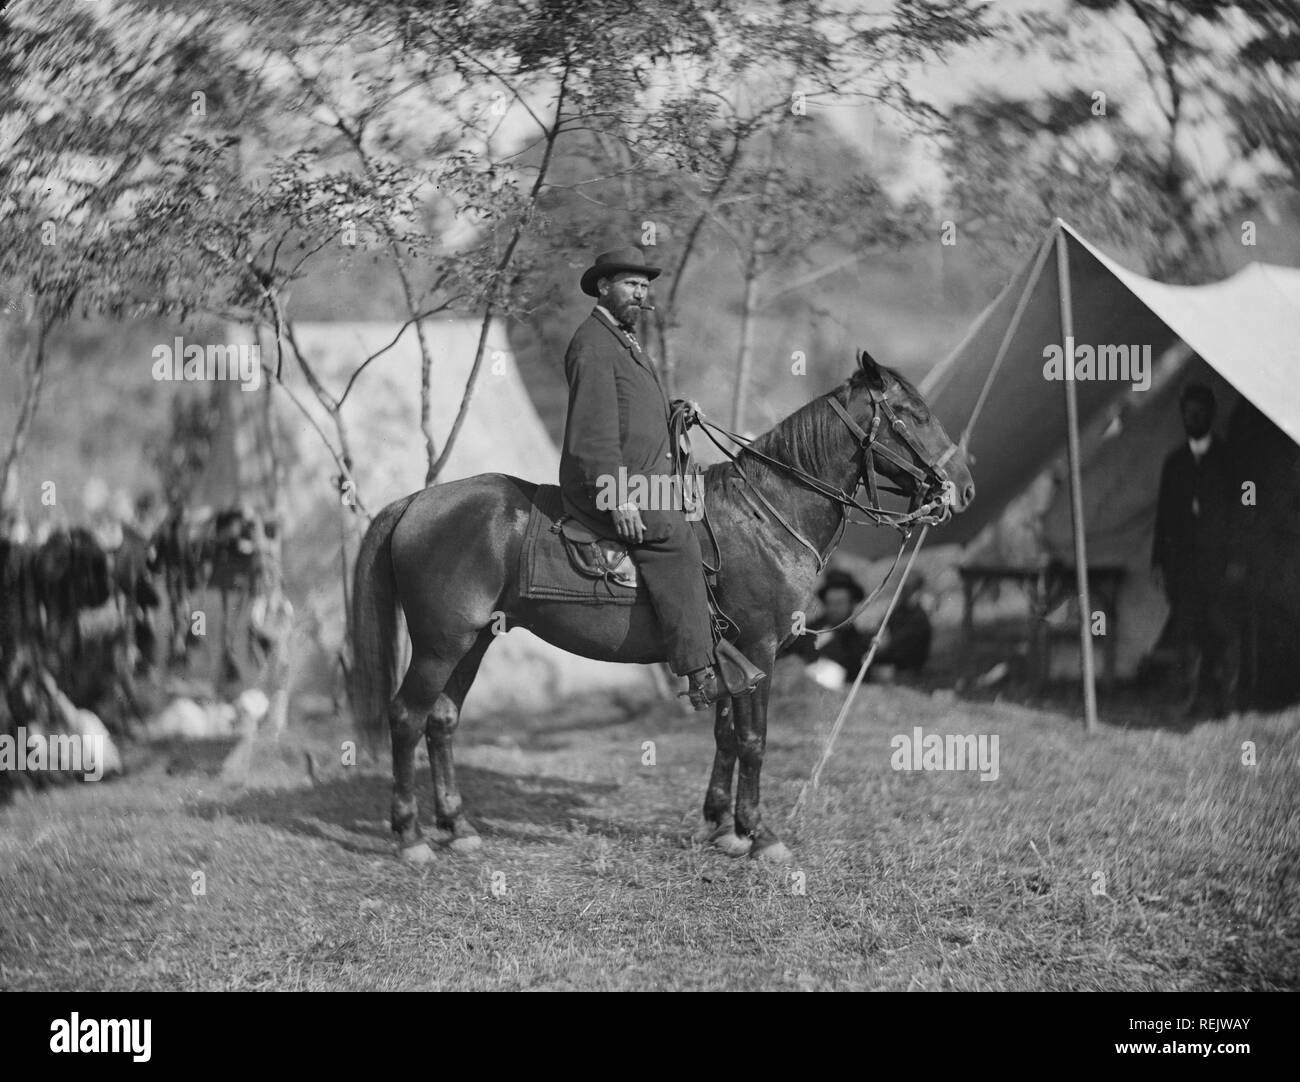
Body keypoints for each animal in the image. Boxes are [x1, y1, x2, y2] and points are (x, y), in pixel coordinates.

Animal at [351, 351, 972, 868]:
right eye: (911, 414)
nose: (961, 488)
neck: (765, 514)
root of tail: (417, 501)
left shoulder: (731, 656)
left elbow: (726, 735)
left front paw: (721, 826)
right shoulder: (759, 649)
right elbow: (754, 741)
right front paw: (760, 834)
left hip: (474, 640)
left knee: (441, 720)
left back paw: (457, 826)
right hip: (441, 643)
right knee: (406, 718)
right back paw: (410, 837)